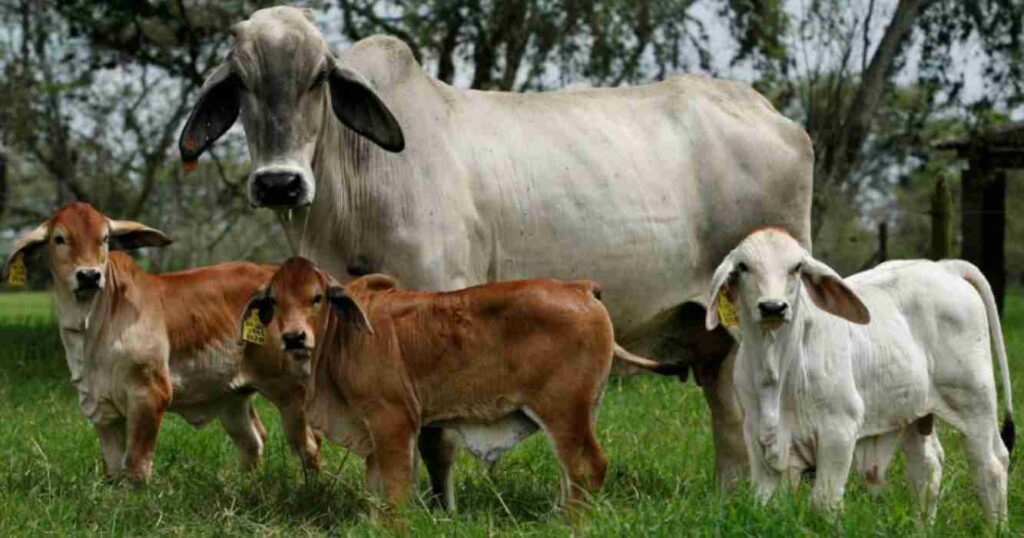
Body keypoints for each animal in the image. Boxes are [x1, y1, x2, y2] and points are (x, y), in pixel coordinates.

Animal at [2, 203, 317, 483]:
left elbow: (137, 467)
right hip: (233, 398)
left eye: (104, 238)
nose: (90, 275)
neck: (92, 330)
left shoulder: (149, 395)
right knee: (252, 442)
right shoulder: (101, 409)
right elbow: (114, 471)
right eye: (59, 238)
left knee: (308, 446)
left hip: (291, 390)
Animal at [708, 227, 1011, 524]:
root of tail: (946, 267)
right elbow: (766, 502)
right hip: (916, 410)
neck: (776, 369)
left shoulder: (839, 430)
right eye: (743, 267)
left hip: (976, 402)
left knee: (991, 464)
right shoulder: (757, 434)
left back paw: (995, 527)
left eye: (796, 267)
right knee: (927, 465)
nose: (773, 307)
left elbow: (824, 502)